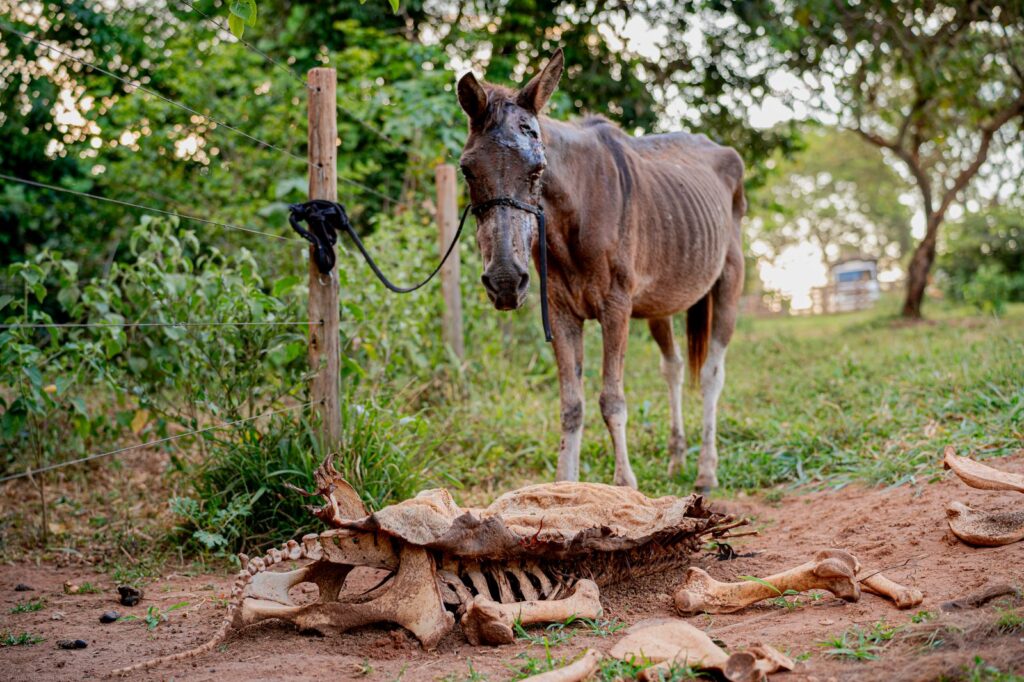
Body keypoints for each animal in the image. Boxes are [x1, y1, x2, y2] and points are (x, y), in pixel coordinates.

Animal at [458, 49, 745, 489]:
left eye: (538, 168)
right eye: (467, 169)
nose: (505, 281)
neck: (578, 213)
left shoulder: (615, 307)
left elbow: (612, 400)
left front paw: (624, 486)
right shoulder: (561, 312)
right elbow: (571, 404)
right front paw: (564, 487)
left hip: (728, 282)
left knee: (713, 373)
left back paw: (706, 472)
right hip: (659, 302)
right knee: (674, 368)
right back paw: (677, 459)